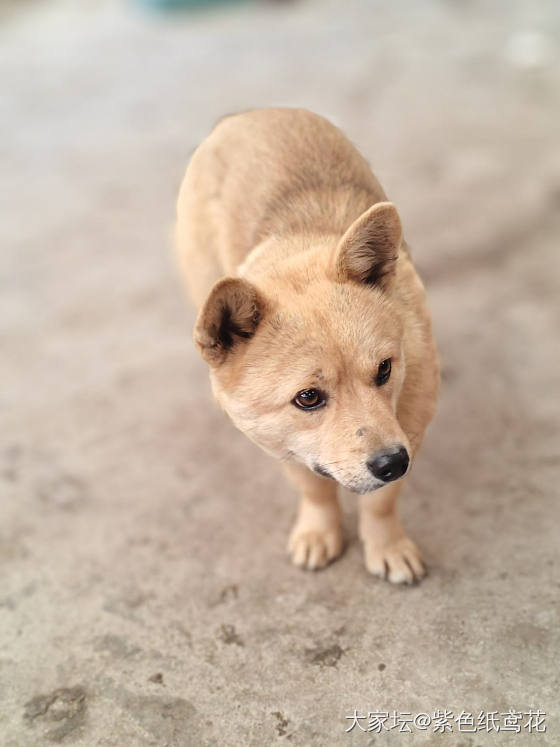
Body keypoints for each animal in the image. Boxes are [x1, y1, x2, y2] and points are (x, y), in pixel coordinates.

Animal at [177, 108, 440, 584]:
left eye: (385, 369)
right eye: (308, 398)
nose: (393, 464)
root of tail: (248, 114)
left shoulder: (410, 426)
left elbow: (381, 502)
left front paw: (387, 545)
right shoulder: (281, 442)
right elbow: (315, 490)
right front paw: (320, 531)